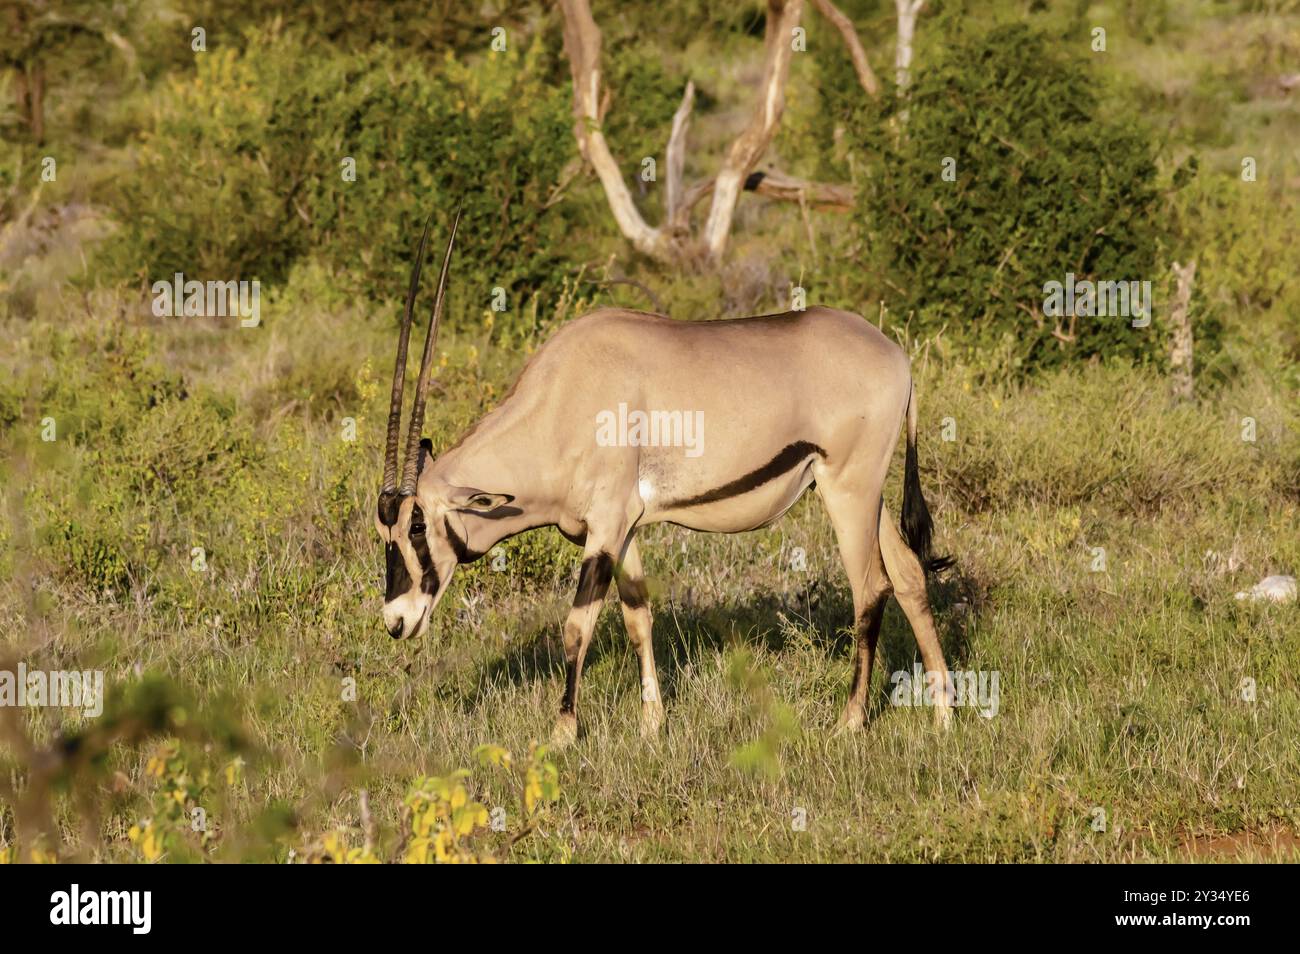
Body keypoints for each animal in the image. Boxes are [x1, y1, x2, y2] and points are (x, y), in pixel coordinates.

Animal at [377, 217, 956, 748]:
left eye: (416, 528)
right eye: (385, 533)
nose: (396, 622)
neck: (561, 399)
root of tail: (898, 358)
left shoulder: (605, 527)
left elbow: (577, 627)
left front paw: (563, 733)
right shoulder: (622, 530)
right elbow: (638, 617)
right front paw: (652, 724)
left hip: (847, 492)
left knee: (871, 587)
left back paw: (851, 721)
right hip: (863, 494)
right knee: (909, 574)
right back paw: (942, 714)